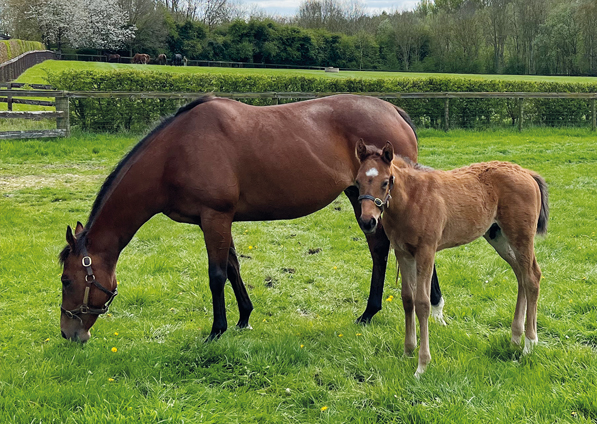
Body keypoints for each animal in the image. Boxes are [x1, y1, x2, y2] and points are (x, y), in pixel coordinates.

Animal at [59, 94, 442, 342]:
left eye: (66, 280)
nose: (68, 333)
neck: (175, 152)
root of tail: (394, 110)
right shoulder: (218, 220)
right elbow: (232, 266)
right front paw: (244, 317)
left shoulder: (214, 216)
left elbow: (216, 275)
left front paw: (217, 330)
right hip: (361, 197)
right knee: (383, 249)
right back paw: (394, 309)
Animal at [352, 140, 548, 378]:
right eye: (357, 182)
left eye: (385, 181)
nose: (367, 222)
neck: (412, 200)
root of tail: (527, 172)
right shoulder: (403, 252)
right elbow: (407, 299)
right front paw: (408, 352)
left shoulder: (426, 251)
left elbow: (422, 303)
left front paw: (422, 366)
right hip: (498, 237)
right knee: (521, 275)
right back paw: (515, 338)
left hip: (521, 236)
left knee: (532, 277)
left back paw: (529, 345)